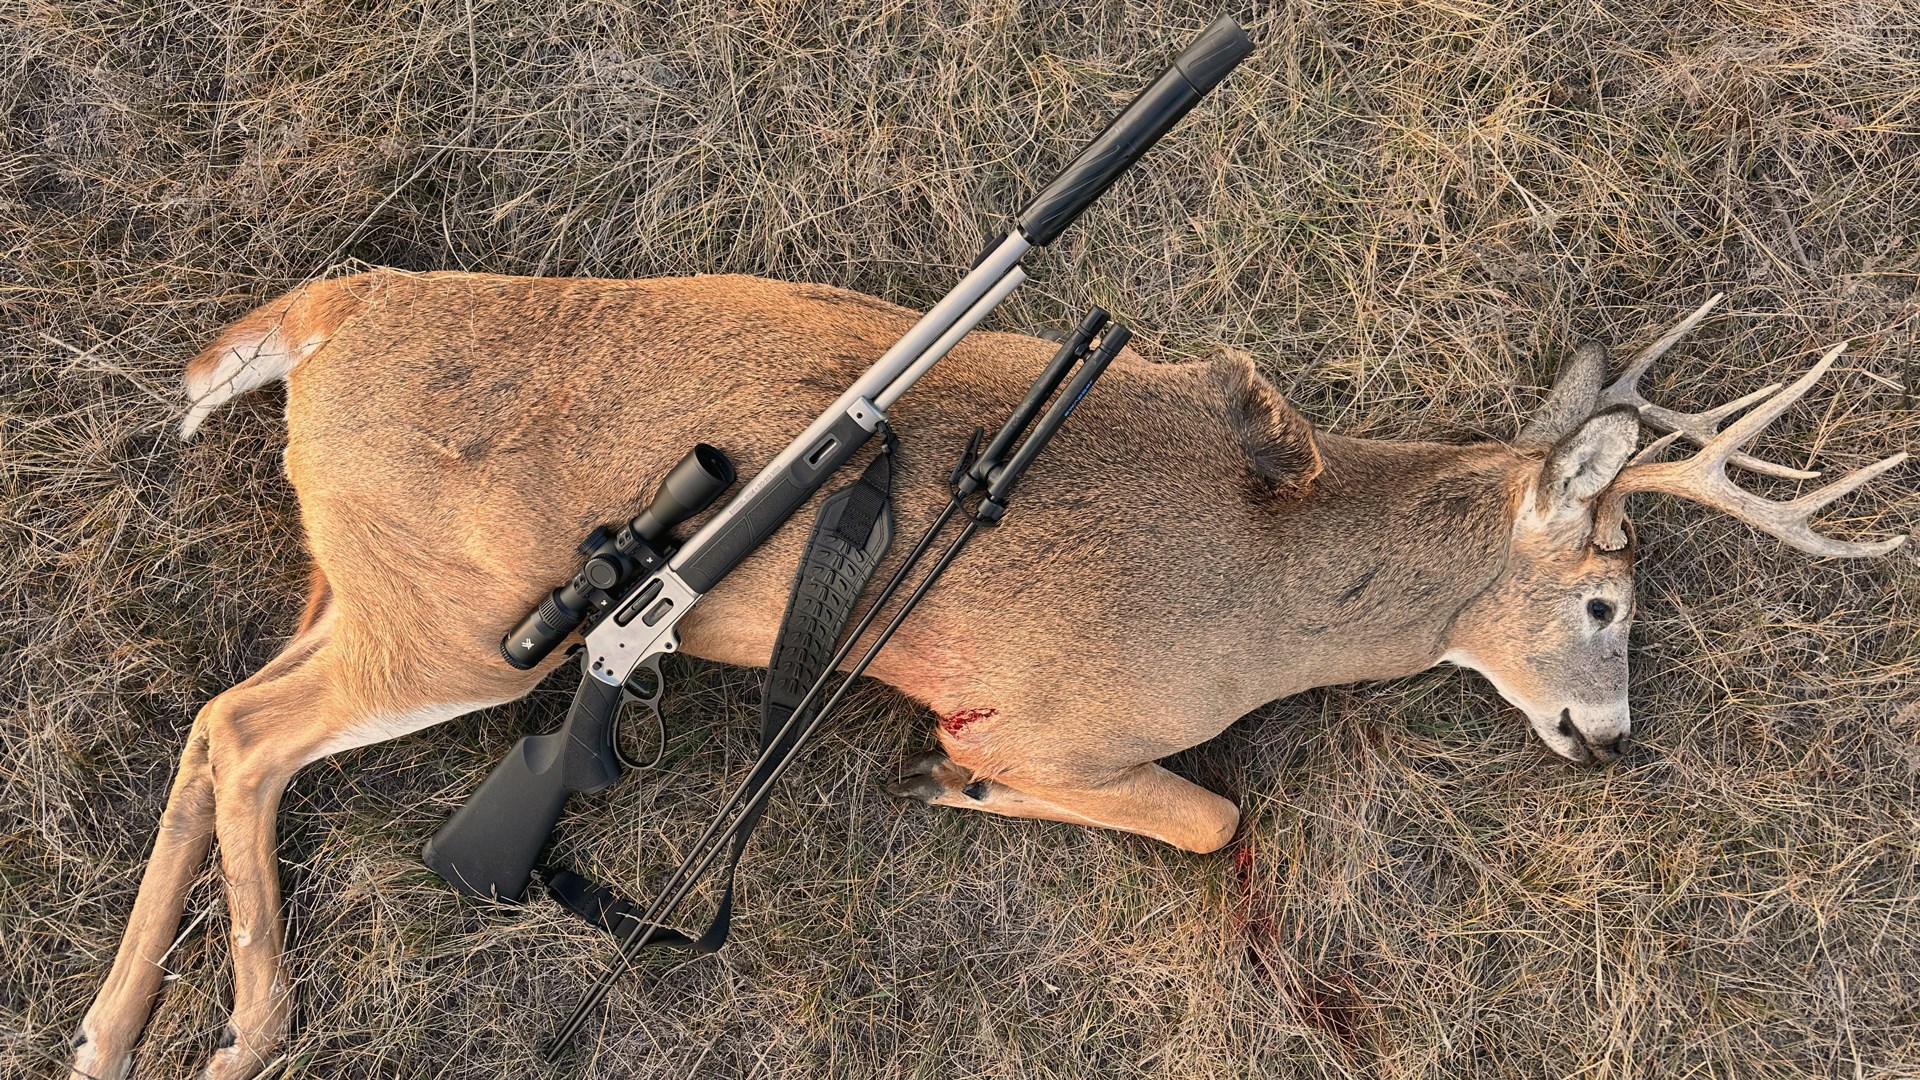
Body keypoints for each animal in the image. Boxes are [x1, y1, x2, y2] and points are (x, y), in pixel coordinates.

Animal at [68, 270, 1907, 1080]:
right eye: (1606, 604)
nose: (1609, 740)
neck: (1270, 586)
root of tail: (324, 313)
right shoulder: (1079, 719)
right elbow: (1211, 820)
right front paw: (955, 781)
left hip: (357, 582)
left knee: (213, 726)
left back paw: (110, 1027)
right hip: (456, 624)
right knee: (250, 737)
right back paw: (246, 1029)